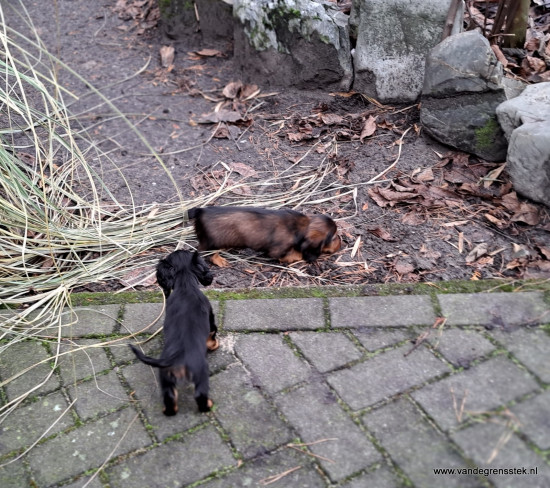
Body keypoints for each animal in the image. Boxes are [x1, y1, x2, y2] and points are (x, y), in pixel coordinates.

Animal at [132, 252, 220, 416]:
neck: (185, 285)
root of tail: (174, 358)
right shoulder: (210, 319)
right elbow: (212, 333)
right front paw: (214, 345)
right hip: (200, 373)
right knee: (200, 395)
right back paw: (208, 406)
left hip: (166, 378)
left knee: (170, 397)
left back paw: (169, 411)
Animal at [189, 207, 340, 264]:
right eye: (333, 237)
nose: (342, 242)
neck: (301, 226)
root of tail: (200, 210)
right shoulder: (277, 250)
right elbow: (288, 255)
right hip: (210, 242)